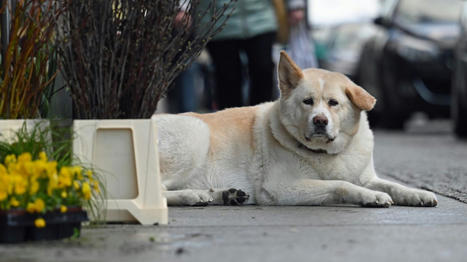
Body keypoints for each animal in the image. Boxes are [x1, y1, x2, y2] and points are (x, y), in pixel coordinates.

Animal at [156, 50, 438, 207]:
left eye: (333, 103)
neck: (328, 153)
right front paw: (370, 197)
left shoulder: (367, 177)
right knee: (158, 190)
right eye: (307, 101)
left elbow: (392, 185)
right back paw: (192, 196)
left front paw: (417, 194)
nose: (320, 121)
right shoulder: (283, 187)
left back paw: (225, 195)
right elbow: (340, 185)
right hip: (195, 135)